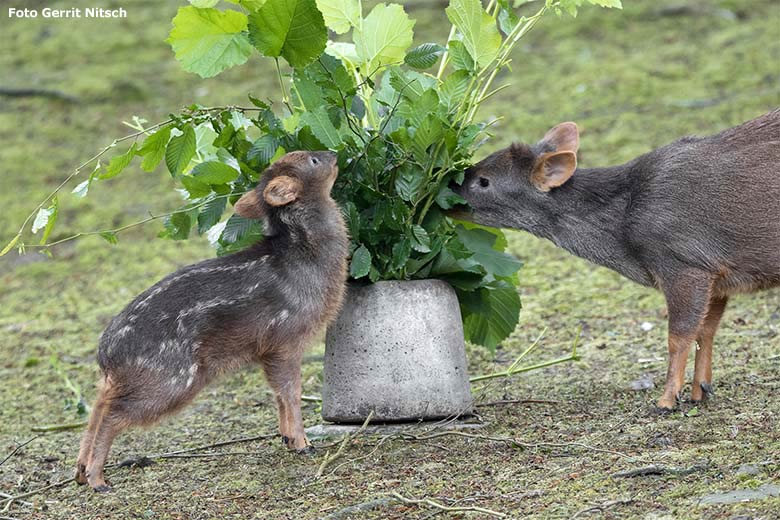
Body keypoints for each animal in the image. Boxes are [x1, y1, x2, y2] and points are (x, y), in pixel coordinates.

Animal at [75, 150, 348, 492]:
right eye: (312, 160)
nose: (334, 154)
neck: (305, 258)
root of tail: (106, 354)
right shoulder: (286, 338)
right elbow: (291, 392)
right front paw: (302, 443)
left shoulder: (269, 350)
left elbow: (278, 393)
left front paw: (287, 438)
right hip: (172, 378)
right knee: (113, 413)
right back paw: (98, 479)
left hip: (134, 378)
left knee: (98, 403)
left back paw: (81, 472)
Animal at [450, 110, 780, 410]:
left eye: (484, 181)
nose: (448, 188)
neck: (624, 230)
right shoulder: (718, 274)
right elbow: (706, 330)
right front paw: (701, 390)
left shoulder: (683, 260)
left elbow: (679, 334)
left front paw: (666, 400)